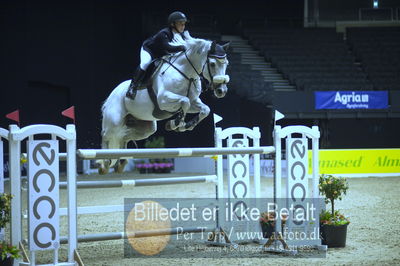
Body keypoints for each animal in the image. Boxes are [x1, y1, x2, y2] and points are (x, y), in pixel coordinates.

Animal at [97, 33, 230, 174]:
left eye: (226, 64)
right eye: (213, 64)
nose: (221, 91)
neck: (186, 74)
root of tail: (109, 98)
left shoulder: (194, 102)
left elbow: (205, 109)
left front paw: (186, 125)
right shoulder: (163, 100)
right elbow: (185, 102)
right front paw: (175, 124)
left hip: (146, 128)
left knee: (124, 136)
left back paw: (120, 163)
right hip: (114, 121)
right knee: (105, 135)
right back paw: (103, 164)